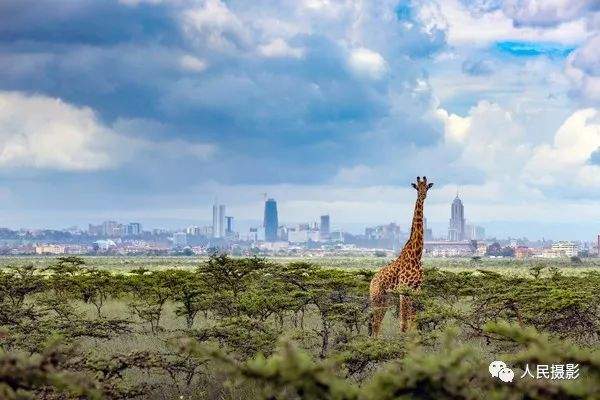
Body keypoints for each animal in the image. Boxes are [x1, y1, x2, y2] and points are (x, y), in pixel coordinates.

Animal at [368, 177, 434, 336]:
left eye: (427, 187)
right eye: (417, 188)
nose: (423, 195)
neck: (416, 255)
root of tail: (371, 281)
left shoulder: (416, 290)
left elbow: (413, 319)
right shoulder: (404, 289)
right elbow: (403, 322)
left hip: (385, 299)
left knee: (377, 323)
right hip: (376, 297)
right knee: (375, 323)